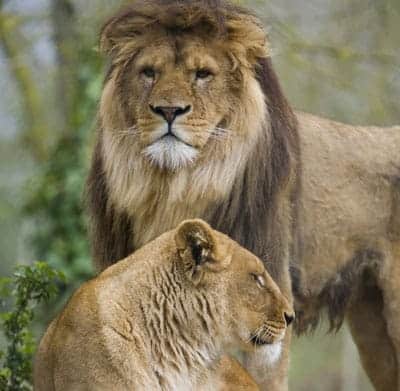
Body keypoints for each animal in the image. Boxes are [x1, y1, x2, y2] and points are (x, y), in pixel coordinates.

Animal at [86, 0, 400, 391]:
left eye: (202, 74)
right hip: (375, 328)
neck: (175, 187)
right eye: (148, 73)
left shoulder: (270, 298)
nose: (169, 110)